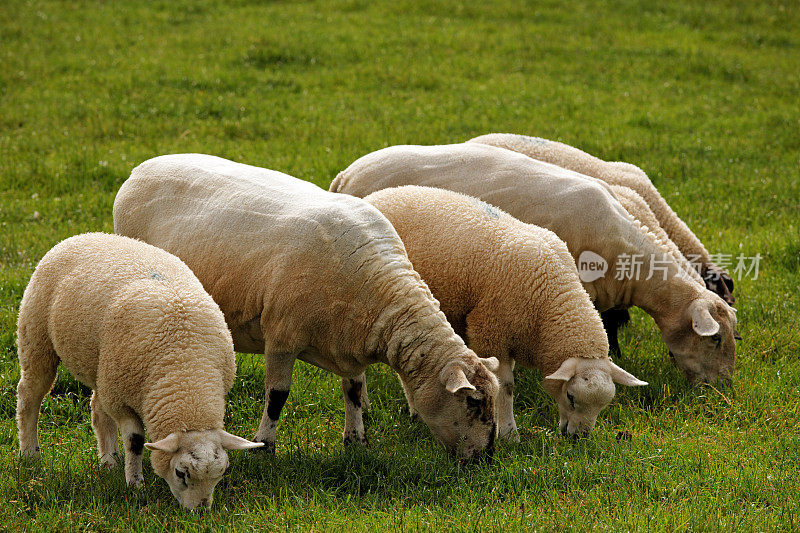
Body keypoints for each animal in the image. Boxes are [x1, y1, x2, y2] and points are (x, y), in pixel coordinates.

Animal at [15, 231, 260, 510]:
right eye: (181, 473)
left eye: (221, 474)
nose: (200, 512)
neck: (185, 370)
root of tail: (85, 235)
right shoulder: (122, 401)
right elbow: (135, 442)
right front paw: (135, 485)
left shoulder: (118, 386)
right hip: (37, 337)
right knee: (29, 396)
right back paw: (29, 454)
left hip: (102, 367)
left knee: (97, 408)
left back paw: (109, 461)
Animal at [112, 154, 500, 462]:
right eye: (473, 402)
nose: (487, 457)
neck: (379, 290)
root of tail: (141, 169)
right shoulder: (282, 337)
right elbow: (277, 397)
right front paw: (265, 447)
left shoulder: (348, 343)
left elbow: (353, 391)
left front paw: (356, 442)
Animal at [360, 185, 648, 438]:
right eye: (571, 396)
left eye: (603, 406)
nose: (578, 438)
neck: (551, 296)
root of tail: (373, 196)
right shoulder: (490, 331)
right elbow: (505, 386)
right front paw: (508, 434)